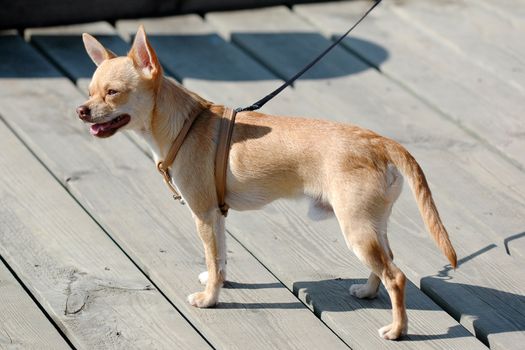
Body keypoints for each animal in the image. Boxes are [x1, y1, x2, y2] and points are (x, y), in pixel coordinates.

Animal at [77, 25, 454, 340]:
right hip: (373, 225)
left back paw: (397, 330)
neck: (184, 123)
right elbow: (220, 256)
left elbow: (212, 257)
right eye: (90, 92)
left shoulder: (203, 214)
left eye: (112, 93)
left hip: (357, 229)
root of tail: (379, 141)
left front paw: (209, 298)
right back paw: (368, 291)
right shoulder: (216, 215)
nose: (81, 110)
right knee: (387, 261)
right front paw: (218, 283)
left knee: (397, 276)